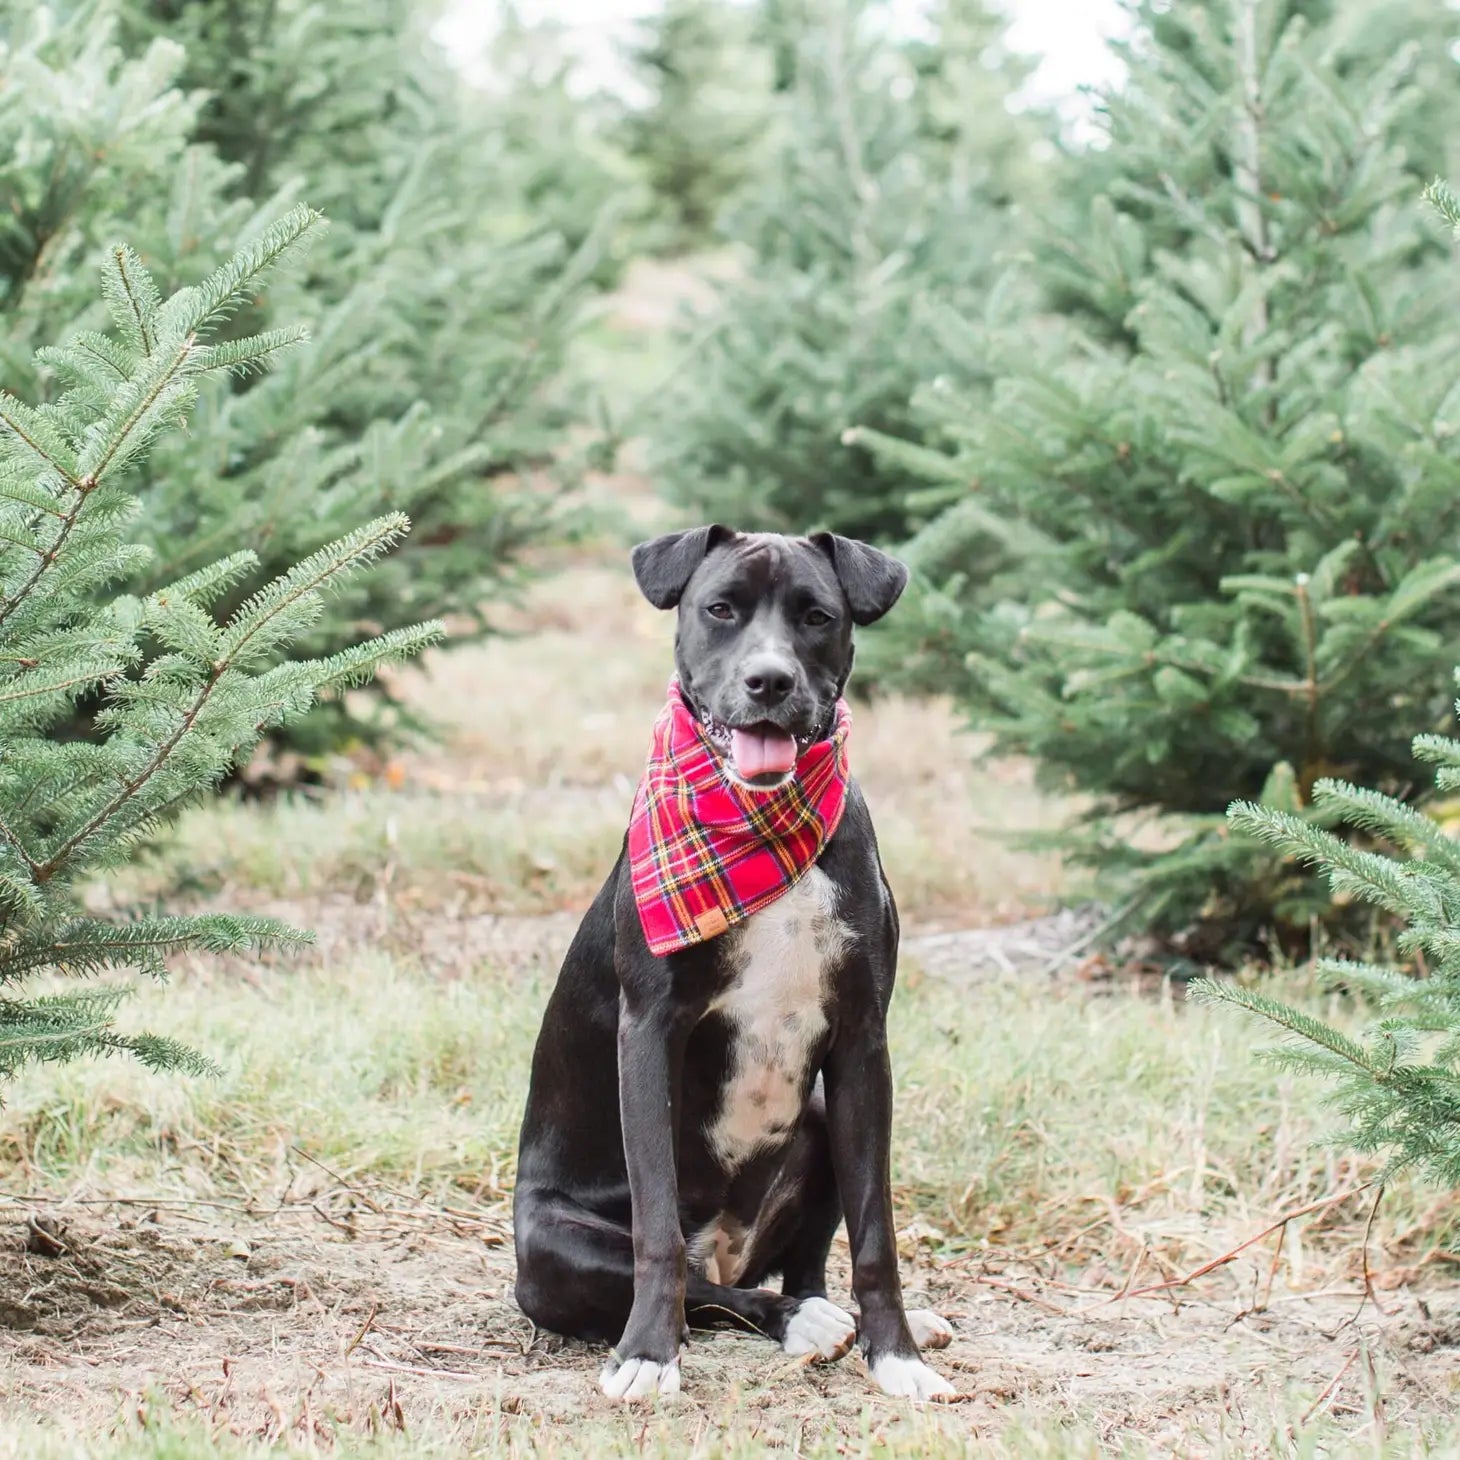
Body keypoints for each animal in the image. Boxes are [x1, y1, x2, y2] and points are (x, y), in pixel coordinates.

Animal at [513, 528, 957, 1401]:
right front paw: (647, 1356)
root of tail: (724, 1248)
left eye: (817, 616)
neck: (757, 818)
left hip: (819, 1115)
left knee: (798, 1272)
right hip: (550, 1253)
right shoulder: (650, 1032)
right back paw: (787, 1322)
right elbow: (655, 1231)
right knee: (715, 1294)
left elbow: (876, 1232)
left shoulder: (863, 1043)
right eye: (720, 609)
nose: (770, 680)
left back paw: (840, 1318)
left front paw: (896, 1356)